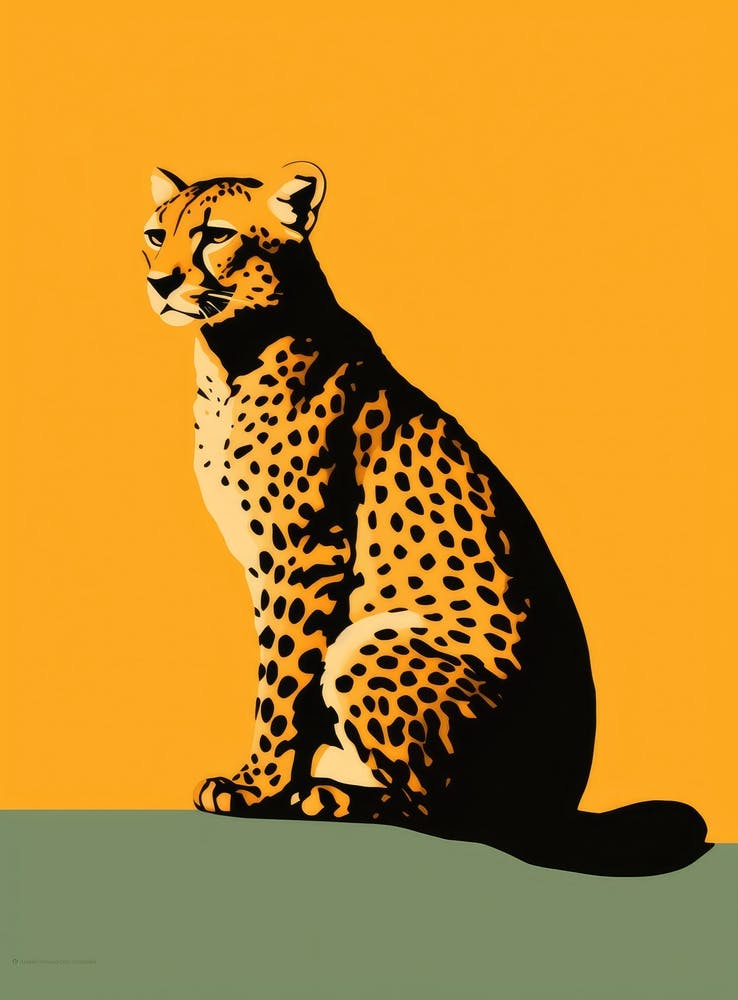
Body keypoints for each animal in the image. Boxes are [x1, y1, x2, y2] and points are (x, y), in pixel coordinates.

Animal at [143, 162, 711, 875]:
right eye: (155, 235)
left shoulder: (305, 552)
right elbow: (280, 674)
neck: (230, 354)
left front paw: (259, 787)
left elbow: (281, 684)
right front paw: (275, 777)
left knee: (450, 812)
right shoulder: (262, 563)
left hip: (372, 642)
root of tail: (561, 801)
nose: (159, 282)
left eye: (216, 235)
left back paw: (331, 797)